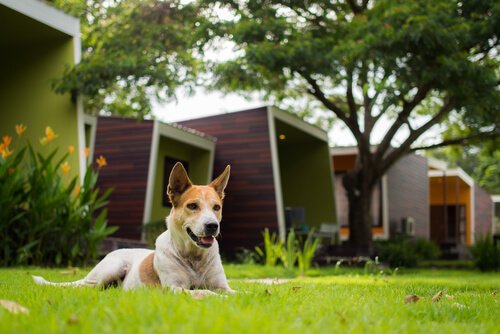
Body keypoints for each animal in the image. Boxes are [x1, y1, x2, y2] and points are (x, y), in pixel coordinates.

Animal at [33, 163, 236, 296]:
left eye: (216, 207)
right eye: (192, 206)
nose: (212, 225)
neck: (193, 256)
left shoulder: (222, 285)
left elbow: (236, 292)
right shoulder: (174, 288)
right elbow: (206, 293)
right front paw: (219, 300)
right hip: (110, 269)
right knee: (86, 287)